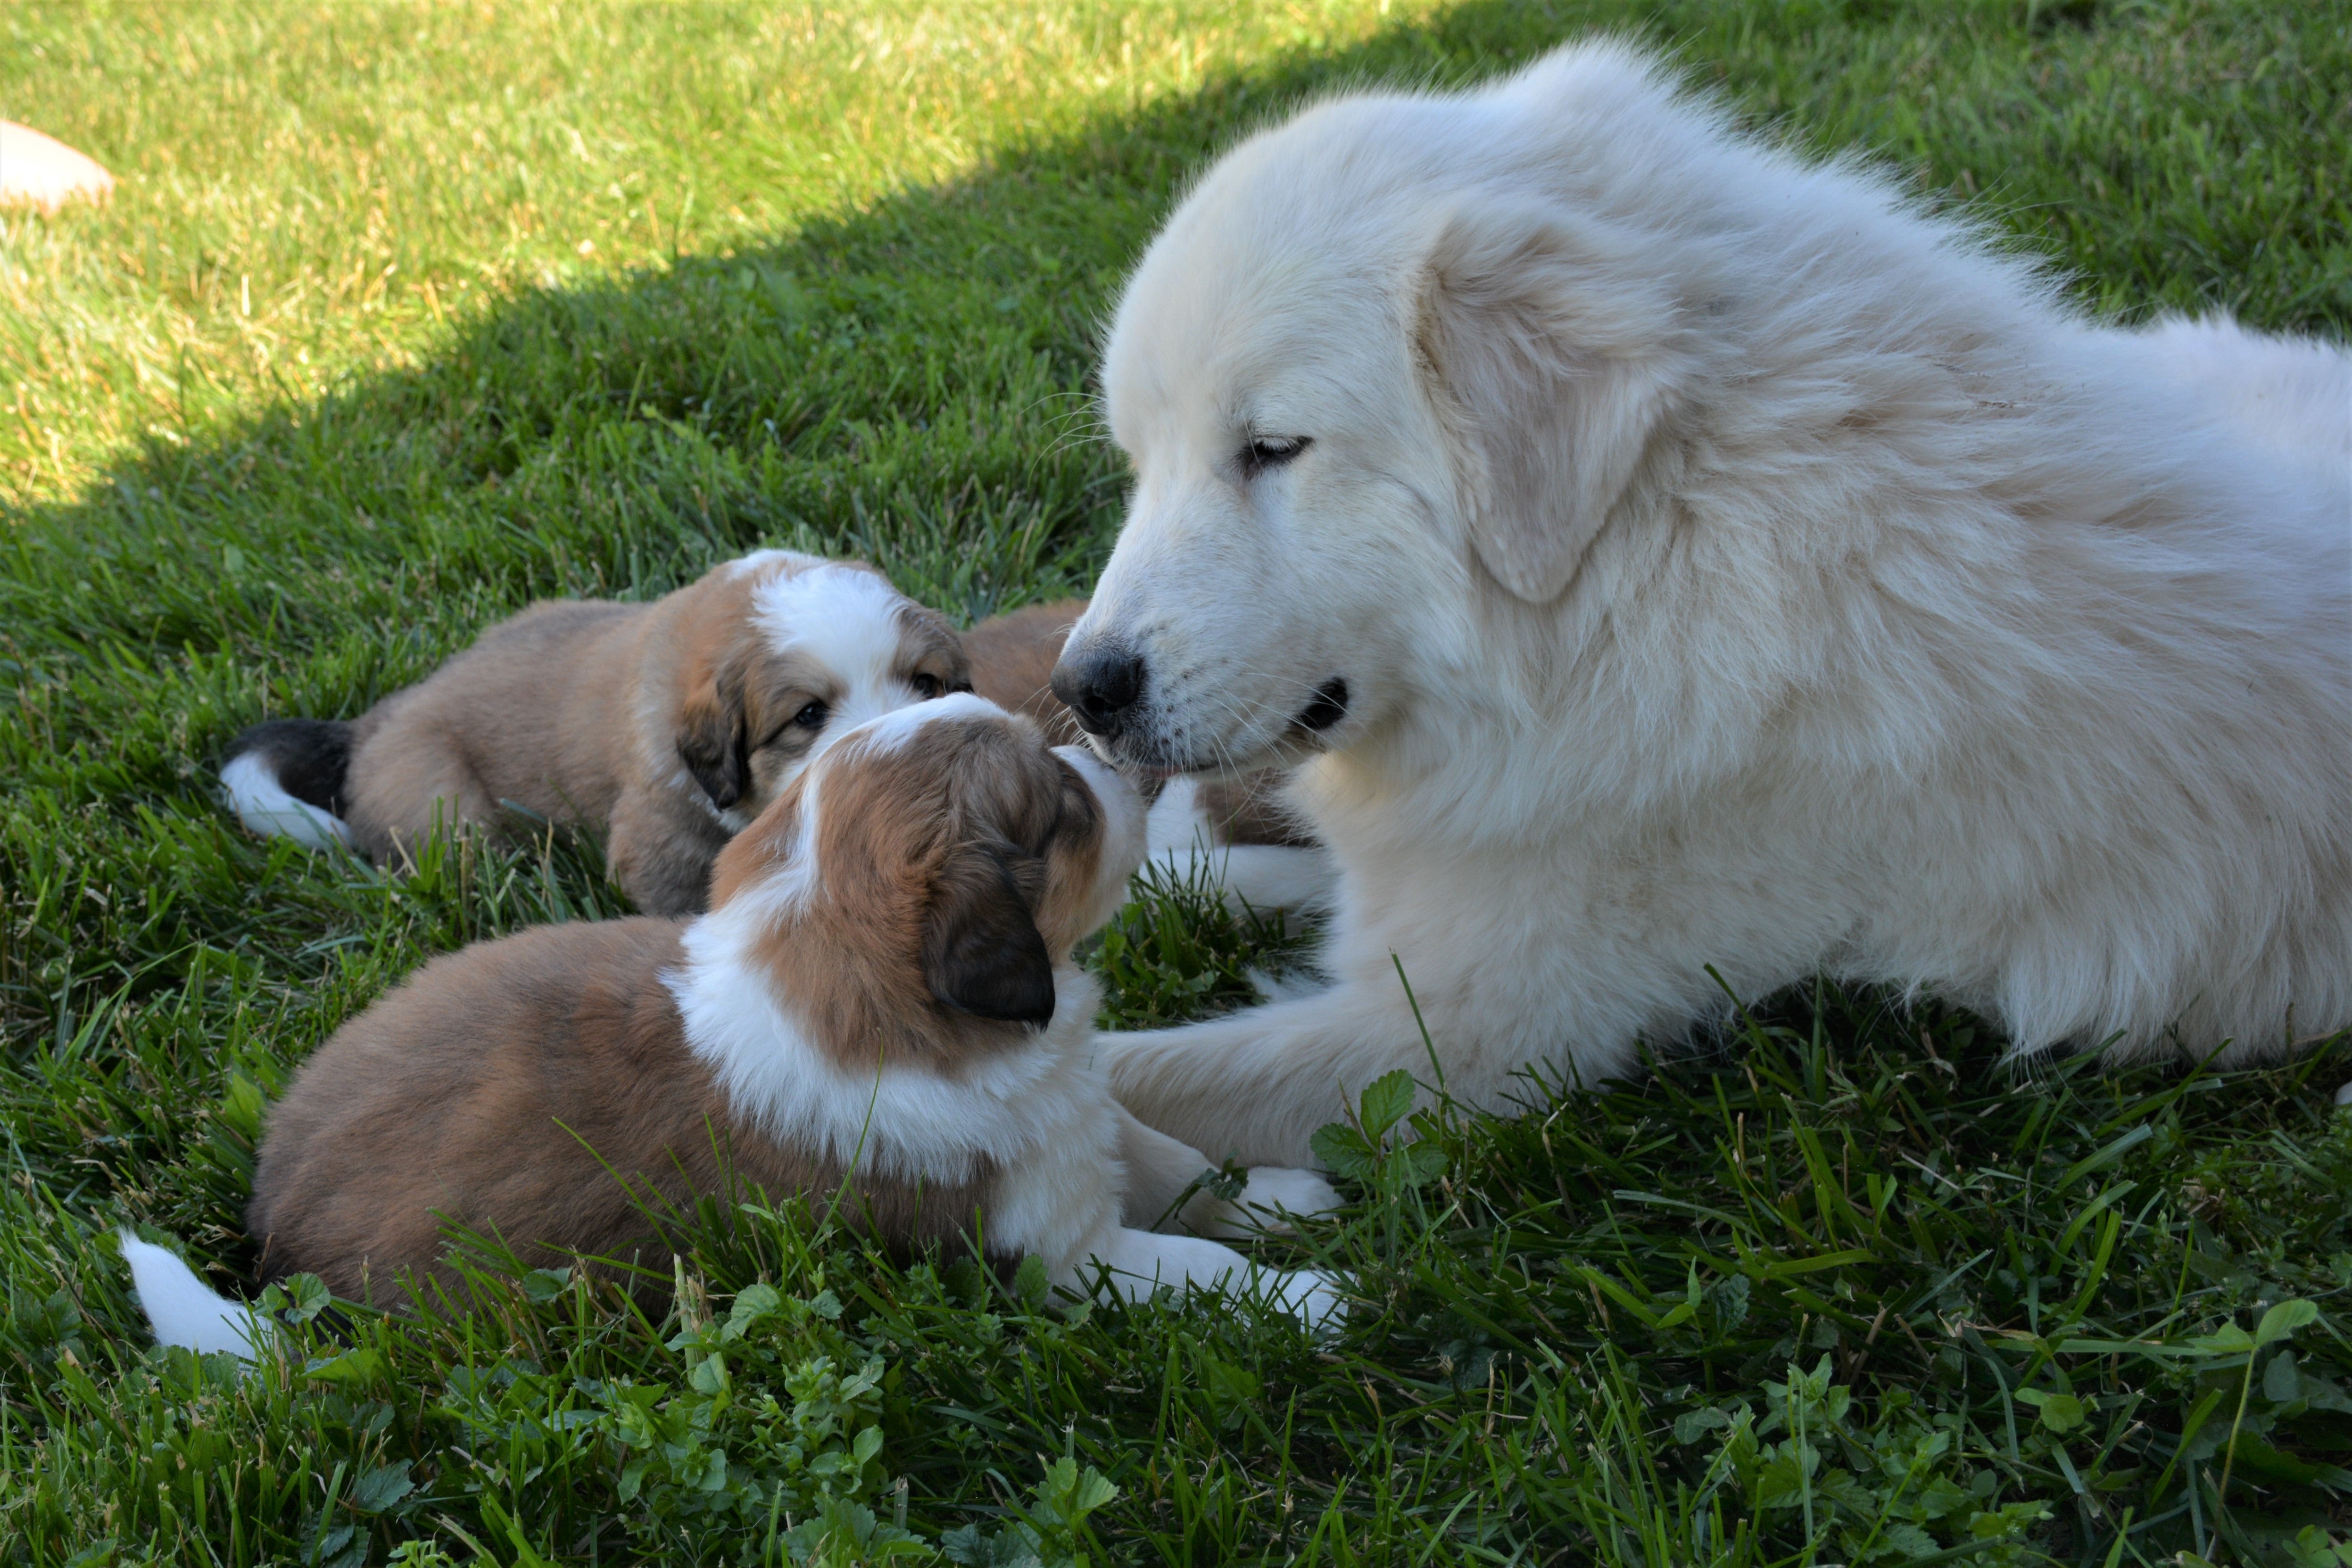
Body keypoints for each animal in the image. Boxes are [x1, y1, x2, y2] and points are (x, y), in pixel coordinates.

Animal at [129, 691, 1345, 1354]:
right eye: (1065, 809)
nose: (1111, 757)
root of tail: (269, 1216)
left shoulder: (1078, 1125)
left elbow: (1180, 1163)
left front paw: (1286, 1198)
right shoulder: (1054, 1250)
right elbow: (1181, 1262)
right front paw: (1309, 1297)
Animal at [1053, 36, 2352, 1171]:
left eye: (1271, 450)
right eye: (1142, 460)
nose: (1083, 689)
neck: (1649, 563)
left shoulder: (1450, 1044)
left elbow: (1125, 1074)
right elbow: (1240, 881)